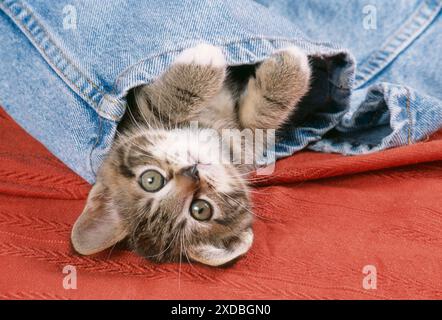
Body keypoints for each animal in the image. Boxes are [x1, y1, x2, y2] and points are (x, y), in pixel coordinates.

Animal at [71, 43, 310, 266]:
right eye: (200, 209)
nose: (193, 173)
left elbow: (257, 121)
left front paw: (285, 74)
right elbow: (159, 105)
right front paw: (202, 64)